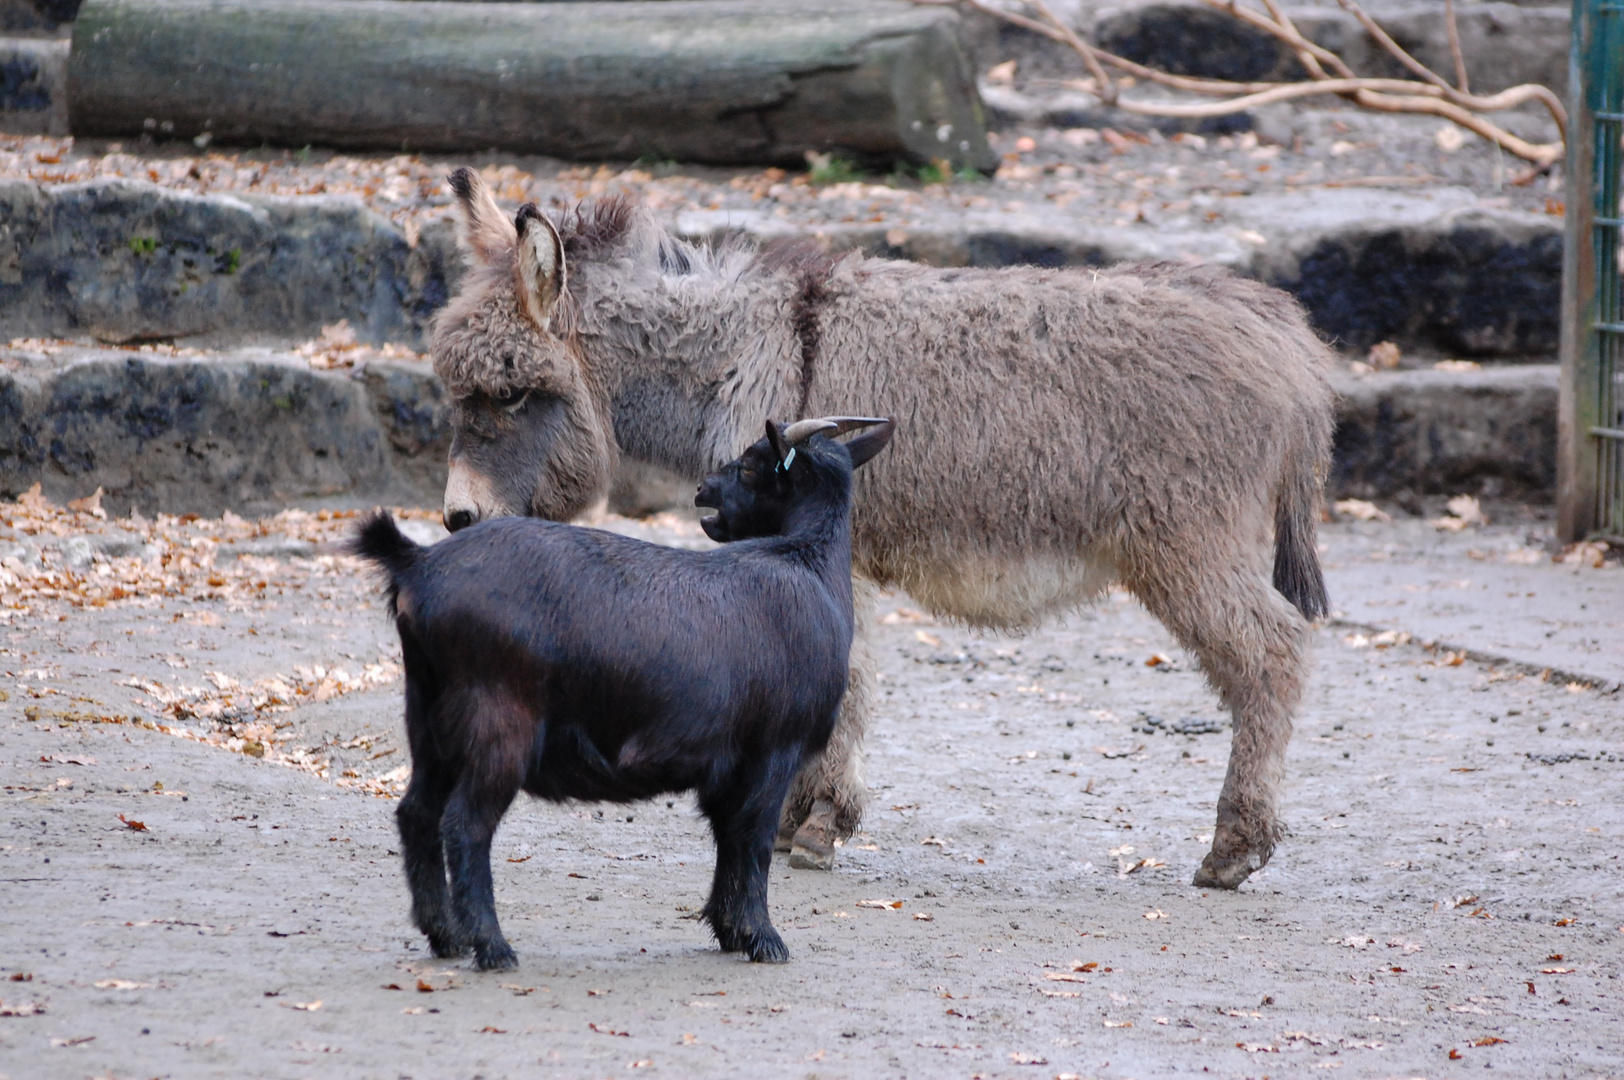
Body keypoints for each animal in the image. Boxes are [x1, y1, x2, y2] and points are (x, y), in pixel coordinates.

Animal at [347, 414, 896, 967]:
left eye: (747, 466)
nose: (702, 490)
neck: (807, 565)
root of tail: (418, 565)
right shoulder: (773, 752)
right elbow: (754, 840)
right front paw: (762, 937)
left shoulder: (729, 766)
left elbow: (728, 838)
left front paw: (728, 930)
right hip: (498, 725)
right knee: (465, 826)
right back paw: (492, 946)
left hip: (428, 717)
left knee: (417, 813)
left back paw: (445, 936)